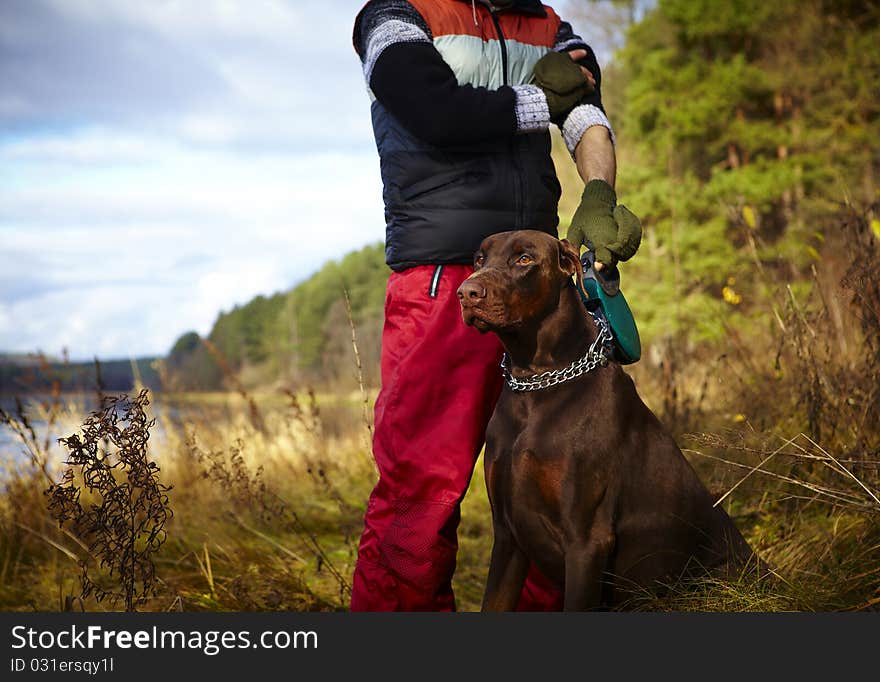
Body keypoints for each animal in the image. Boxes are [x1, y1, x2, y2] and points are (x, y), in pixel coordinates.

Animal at [458, 231, 752, 608]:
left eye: (524, 259)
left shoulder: (586, 539)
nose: (466, 293)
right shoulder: (507, 537)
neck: (536, 386)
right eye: (479, 259)